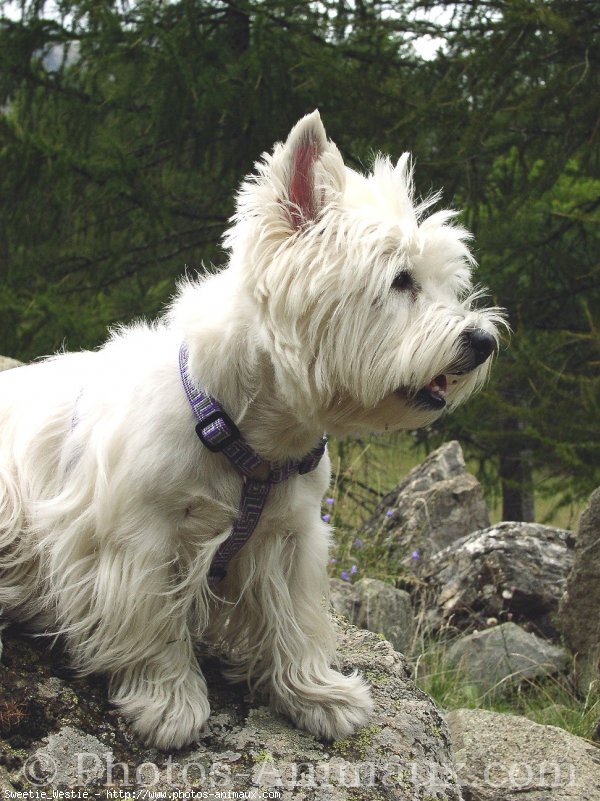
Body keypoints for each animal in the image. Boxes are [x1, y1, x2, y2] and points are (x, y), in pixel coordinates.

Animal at [0, 112, 502, 752]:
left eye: (445, 283)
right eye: (400, 280)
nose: (483, 341)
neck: (248, 432)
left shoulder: (290, 535)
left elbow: (294, 622)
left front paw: (319, 696)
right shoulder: (140, 540)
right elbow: (156, 627)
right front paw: (170, 704)